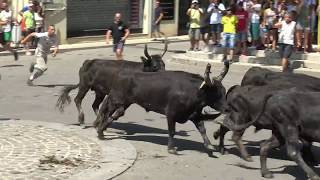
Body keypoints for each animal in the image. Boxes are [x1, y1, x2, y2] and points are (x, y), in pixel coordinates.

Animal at [94, 62, 229, 154]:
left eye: (224, 91)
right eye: (215, 93)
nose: (227, 108)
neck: (193, 92)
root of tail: (121, 74)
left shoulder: (194, 115)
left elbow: (202, 129)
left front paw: (209, 145)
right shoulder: (171, 113)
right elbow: (172, 131)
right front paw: (171, 148)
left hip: (125, 102)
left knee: (114, 114)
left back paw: (101, 129)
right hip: (116, 99)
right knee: (106, 111)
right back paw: (100, 130)